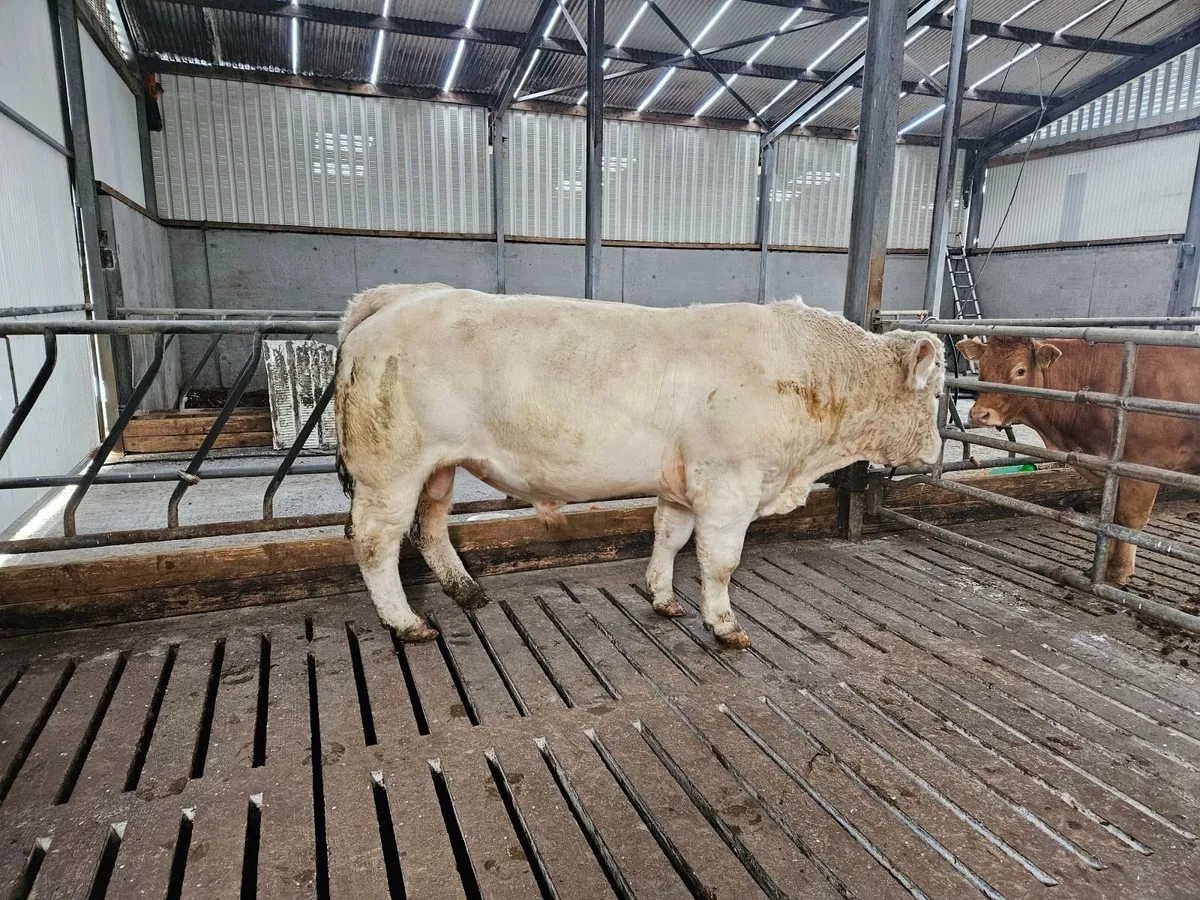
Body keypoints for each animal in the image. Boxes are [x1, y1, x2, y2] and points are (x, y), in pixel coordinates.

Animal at [335, 283, 945, 646]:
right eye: (938, 394)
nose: (939, 449)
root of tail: (403, 297)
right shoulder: (730, 482)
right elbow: (720, 561)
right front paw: (724, 625)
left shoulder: (680, 483)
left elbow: (669, 538)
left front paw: (663, 598)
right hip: (390, 468)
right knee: (376, 541)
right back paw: (407, 622)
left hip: (438, 466)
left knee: (431, 526)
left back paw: (466, 592)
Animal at [957, 336, 1200, 586]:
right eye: (982, 368)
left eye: (1020, 370)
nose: (979, 415)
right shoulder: (1114, 471)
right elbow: (1111, 518)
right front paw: (1101, 568)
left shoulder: (1143, 465)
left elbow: (1129, 520)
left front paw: (1119, 571)